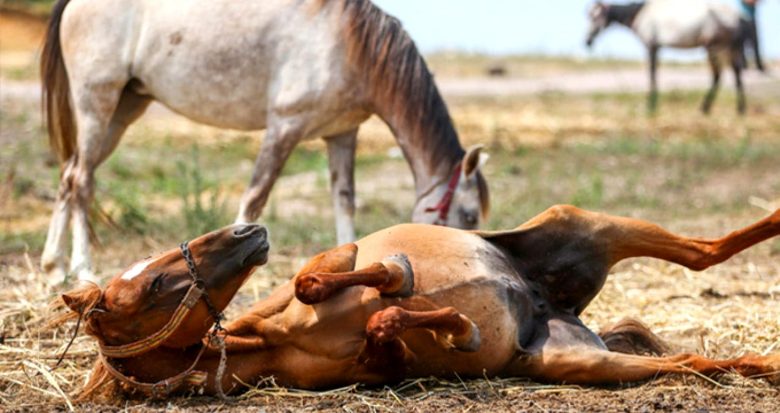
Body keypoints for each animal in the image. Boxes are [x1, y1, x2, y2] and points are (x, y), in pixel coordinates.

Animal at [38, 0, 488, 284]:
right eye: (468, 216)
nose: (466, 263)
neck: (349, 43)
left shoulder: (341, 134)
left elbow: (344, 200)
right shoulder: (284, 127)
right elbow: (255, 197)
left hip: (123, 109)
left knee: (68, 176)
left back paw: (54, 267)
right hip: (97, 105)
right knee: (81, 181)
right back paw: (84, 269)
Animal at [59, 206, 780, 400]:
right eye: (154, 286)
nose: (246, 230)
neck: (270, 340)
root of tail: (550, 304)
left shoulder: (343, 257)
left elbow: (324, 280)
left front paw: (400, 281)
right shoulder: (384, 365)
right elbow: (387, 324)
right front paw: (457, 327)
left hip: (585, 222)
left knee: (705, 252)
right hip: (583, 363)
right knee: (688, 360)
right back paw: (761, 365)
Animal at [588, 0, 760, 113]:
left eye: (596, 17)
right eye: (589, 16)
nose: (587, 41)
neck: (640, 13)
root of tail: (738, 16)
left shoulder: (652, 46)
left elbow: (652, 74)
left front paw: (651, 105)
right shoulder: (657, 47)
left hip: (716, 47)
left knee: (718, 75)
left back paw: (705, 108)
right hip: (730, 48)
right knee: (736, 74)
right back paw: (739, 109)